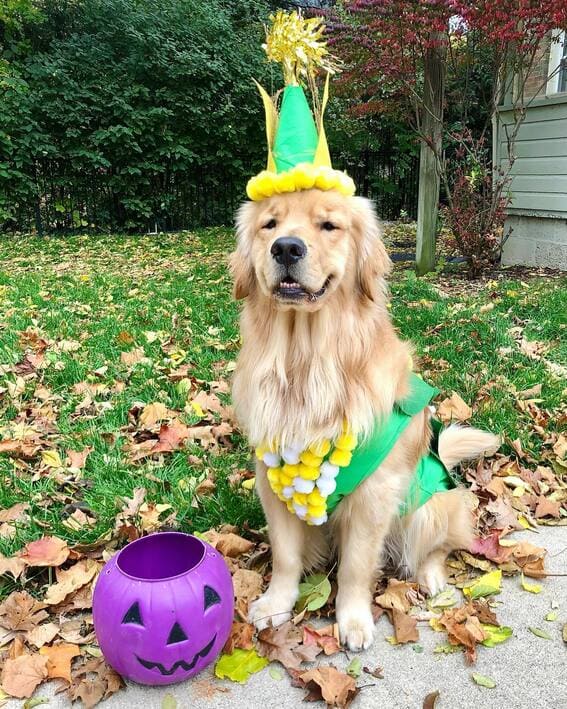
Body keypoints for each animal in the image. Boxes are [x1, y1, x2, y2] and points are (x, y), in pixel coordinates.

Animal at [229, 187, 500, 648]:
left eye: (328, 225)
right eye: (270, 224)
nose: (286, 247)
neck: (306, 364)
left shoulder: (376, 494)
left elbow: (356, 566)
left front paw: (353, 620)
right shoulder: (271, 481)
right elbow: (285, 556)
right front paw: (276, 603)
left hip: (429, 506)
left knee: (438, 547)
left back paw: (431, 576)